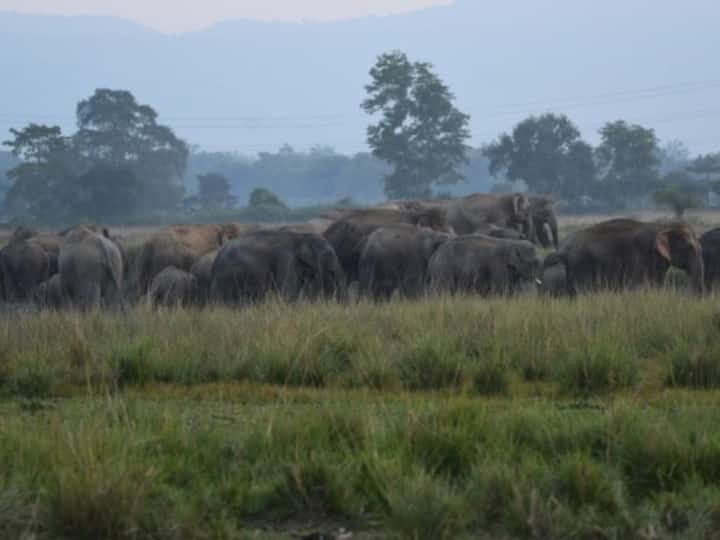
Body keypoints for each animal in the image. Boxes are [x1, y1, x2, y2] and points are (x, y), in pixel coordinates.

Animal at [211, 230, 345, 305]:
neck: (301, 235)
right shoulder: (286, 259)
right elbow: (288, 293)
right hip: (226, 278)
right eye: (329, 253)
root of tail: (217, 257)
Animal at [543, 219, 704, 294]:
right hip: (581, 264)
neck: (662, 225)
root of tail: (562, 248)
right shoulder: (641, 257)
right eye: (689, 248)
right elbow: (638, 286)